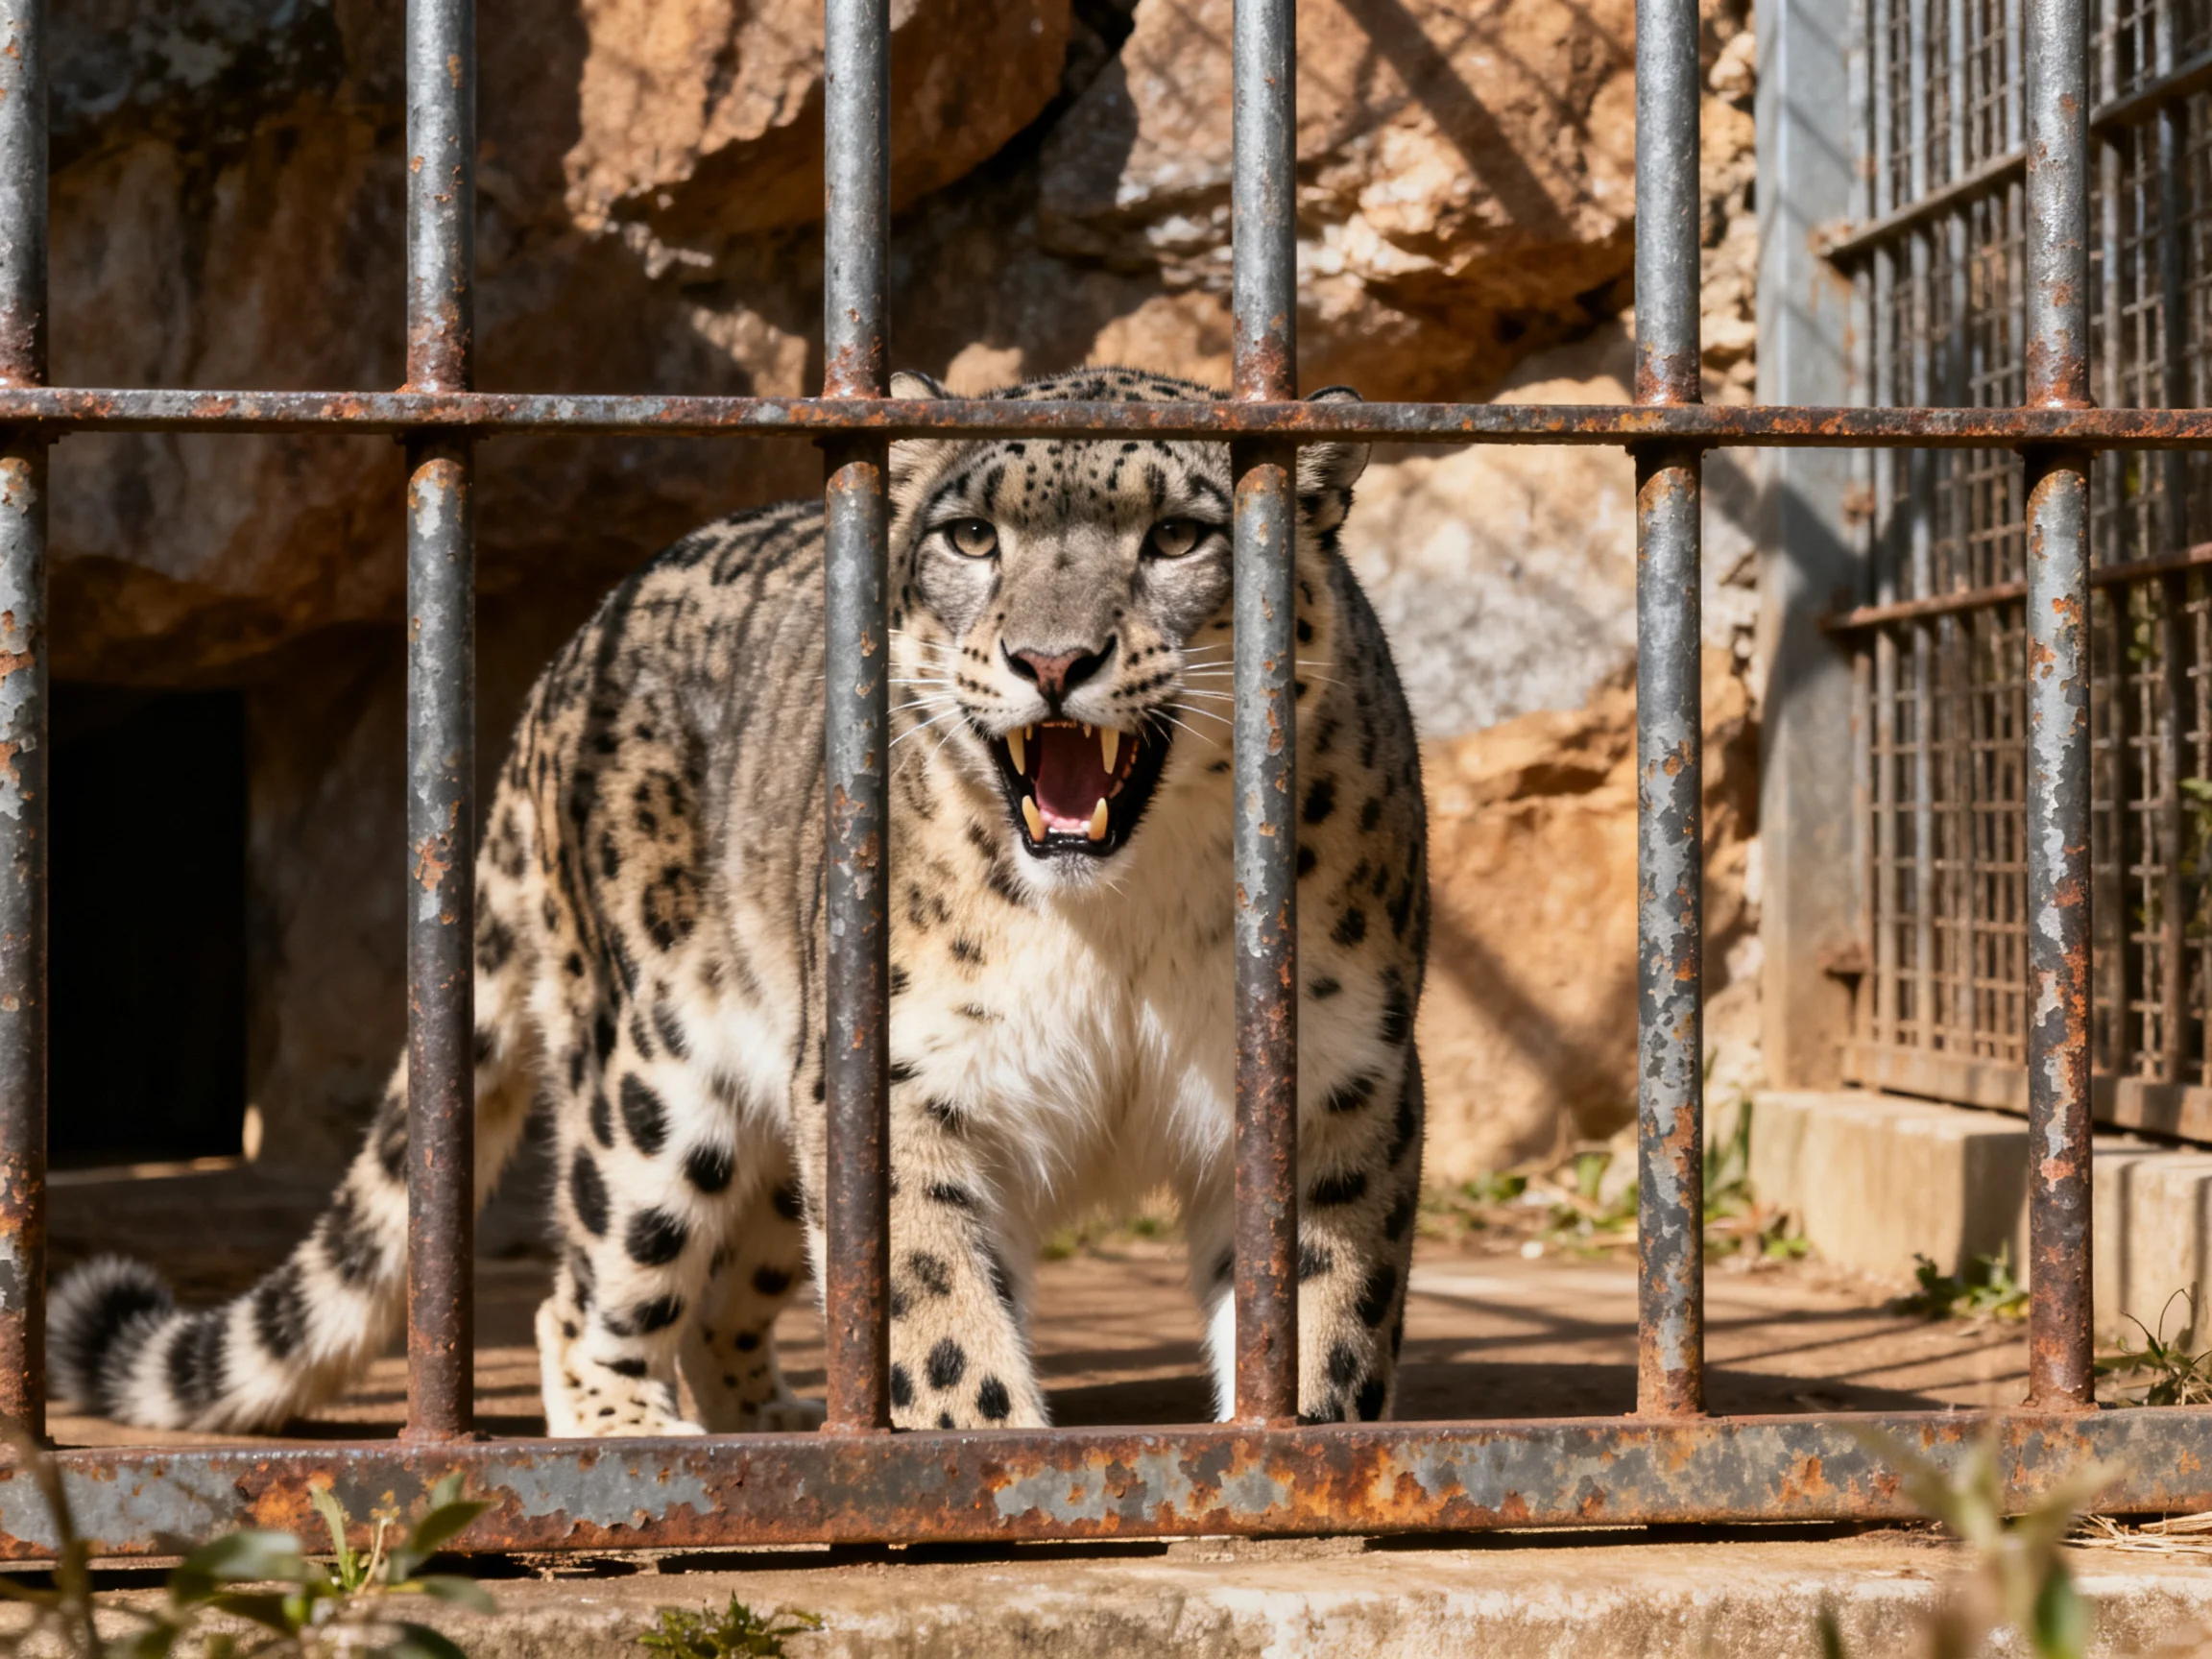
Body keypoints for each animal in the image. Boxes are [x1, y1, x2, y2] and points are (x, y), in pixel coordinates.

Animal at [48, 366, 1430, 1437]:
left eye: (1181, 538)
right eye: (972, 537)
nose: (1051, 661)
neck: (1116, 925)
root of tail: (560, 673)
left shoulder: (1333, 1076)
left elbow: (1321, 1314)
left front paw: (1301, 1442)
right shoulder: (907, 1075)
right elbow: (934, 1307)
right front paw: (988, 1449)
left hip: (774, 1127)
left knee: (729, 1304)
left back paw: (779, 1427)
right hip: (657, 1087)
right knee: (585, 1296)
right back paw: (638, 1444)